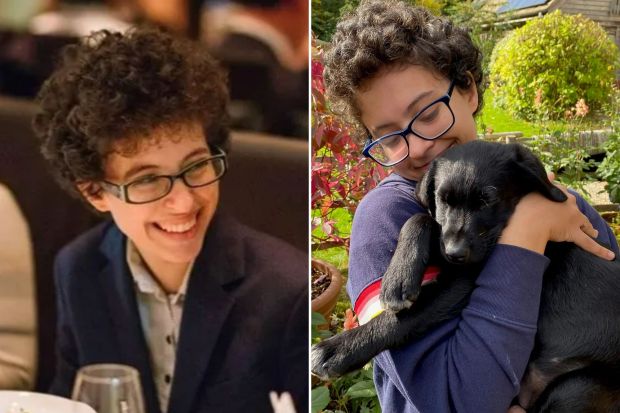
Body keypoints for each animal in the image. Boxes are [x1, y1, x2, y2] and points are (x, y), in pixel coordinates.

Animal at [312, 141, 620, 408]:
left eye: (488, 200)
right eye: (442, 199)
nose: (455, 253)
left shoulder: (464, 277)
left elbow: (407, 317)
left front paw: (337, 349)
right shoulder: (449, 247)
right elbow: (421, 218)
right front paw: (398, 276)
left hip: (582, 385)